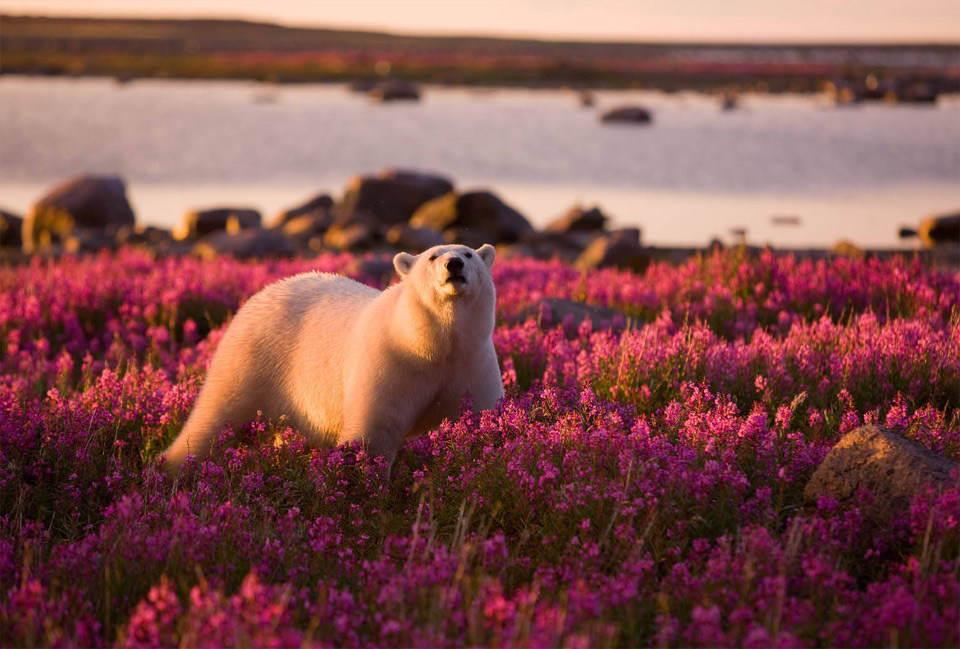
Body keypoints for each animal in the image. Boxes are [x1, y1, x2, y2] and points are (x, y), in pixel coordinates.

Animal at [162, 243, 503, 474]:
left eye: (469, 254)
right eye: (432, 256)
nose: (454, 264)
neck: (434, 344)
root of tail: (259, 295)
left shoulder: (472, 364)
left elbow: (481, 420)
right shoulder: (393, 362)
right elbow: (374, 432)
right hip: (252, 357)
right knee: (216, 415)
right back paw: (173, 464)